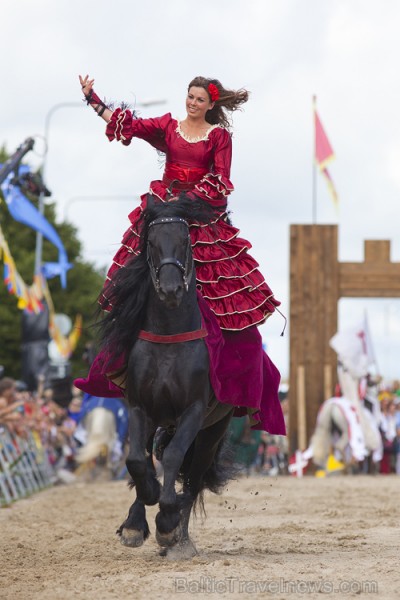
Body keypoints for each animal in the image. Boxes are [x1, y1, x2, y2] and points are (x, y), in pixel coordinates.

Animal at [100, 197, 236, 556]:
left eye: (186, 241)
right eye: (150, 242)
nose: (172, 289)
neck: (170, 338)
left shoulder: (193, 411)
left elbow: (173, 457)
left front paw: (167, 522)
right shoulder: (139, 407)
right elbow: (137, 460)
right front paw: (141, 513)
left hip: (211, 433)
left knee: (192, 481)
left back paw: (179, 538)